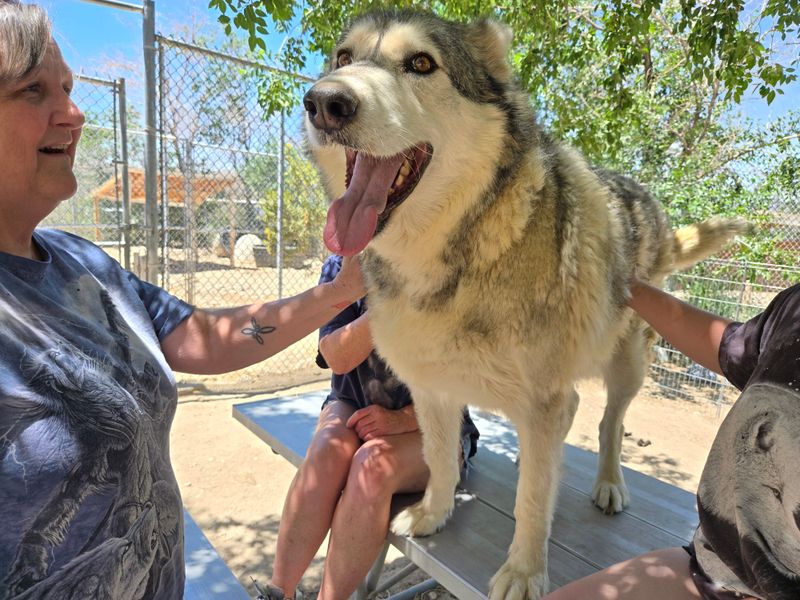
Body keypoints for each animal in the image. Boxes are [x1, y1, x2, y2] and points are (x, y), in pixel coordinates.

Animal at [302, 10, 748, 599]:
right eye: (343, 58)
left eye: (420, 63)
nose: (324, 102)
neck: (450, 262)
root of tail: (652, 208)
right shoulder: (433, 390)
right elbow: (440, 461)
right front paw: (432, 514)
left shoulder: (539, 404)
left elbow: (533, 501)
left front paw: (523, 572)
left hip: (627, 365)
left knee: (609, 425)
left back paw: (609, 485)